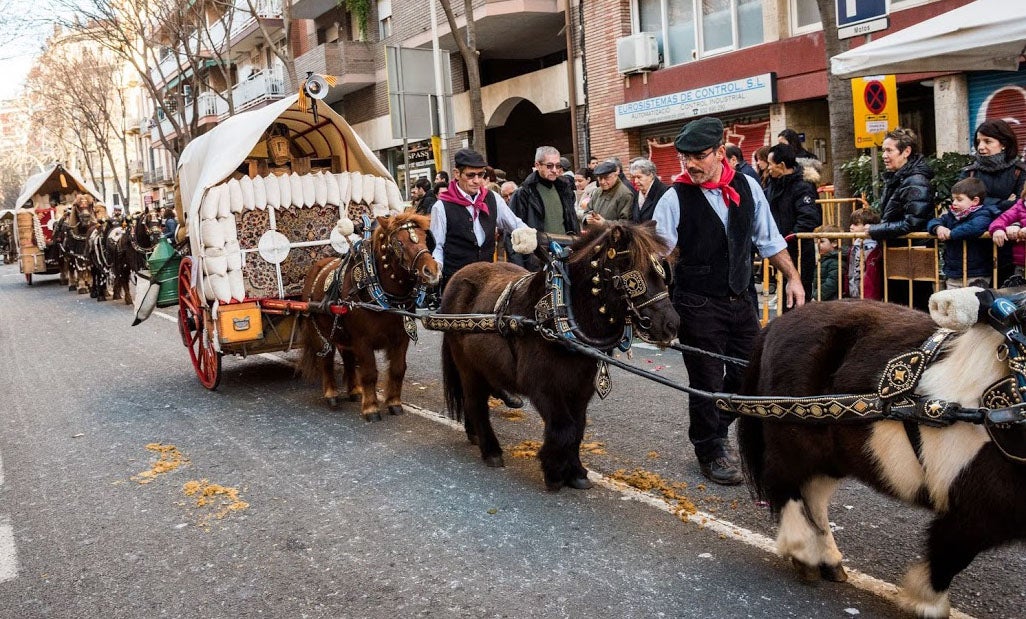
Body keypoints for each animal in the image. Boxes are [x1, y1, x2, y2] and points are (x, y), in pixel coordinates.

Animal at [299, 213, 439, 420]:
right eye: (399, 242)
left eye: (424, 238)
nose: (432, 271)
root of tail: (317, 266)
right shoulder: (362, 340)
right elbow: (369, 373)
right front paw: (371, 408)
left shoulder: (401, 337)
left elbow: (398, 369)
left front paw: (394, 403)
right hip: (320, 332)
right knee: (327, 360)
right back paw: (331, 395)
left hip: (343, 334)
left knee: (348, 360)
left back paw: (355, 391)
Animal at [441, 220, 681, 490]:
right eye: (632, 271)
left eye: (662, 271)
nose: (672, 325)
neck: (558, 314)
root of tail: (458, 276)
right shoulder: (543, 387)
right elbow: (563, 428)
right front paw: (554, 471)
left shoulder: (580, 389)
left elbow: (577, 429)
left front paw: (576, 472)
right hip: (466, 366)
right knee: (475, 402)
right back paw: (491, 450)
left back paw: (475, 433)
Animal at [738, 291, 1026, 619]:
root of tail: (778, 323)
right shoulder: (979, 509)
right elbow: (948, 555)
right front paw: (926, 603)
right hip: (793, 442)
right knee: (785, 486)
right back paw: (804, 553)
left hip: (831, 456)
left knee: (814, 495)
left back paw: (828, 559)